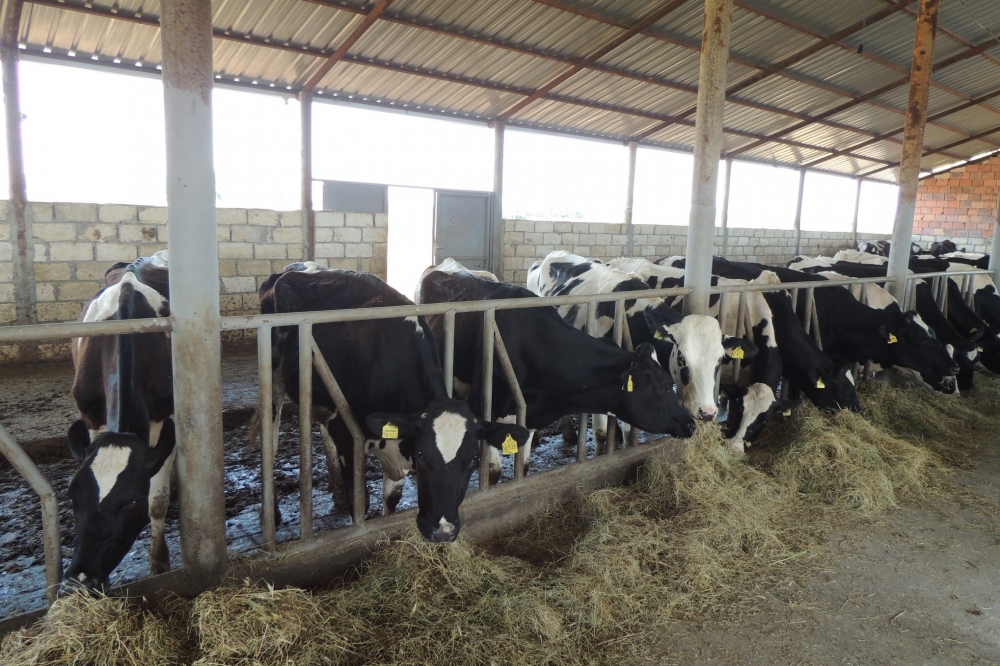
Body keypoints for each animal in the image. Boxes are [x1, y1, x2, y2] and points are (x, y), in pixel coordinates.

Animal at [63, 256, 175, 593]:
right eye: (71, 493)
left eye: (133, 501)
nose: (80, 580)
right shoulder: (92, 417)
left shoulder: (165, 417)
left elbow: (158, 500)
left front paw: (159, 562)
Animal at [261, 264, 530, 542]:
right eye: (422, 455)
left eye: (473, 459)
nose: (443, 531)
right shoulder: (347, 436)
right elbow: (359, 503)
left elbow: (392, 498)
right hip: (274, 377)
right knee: (270, 437)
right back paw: (273, 514)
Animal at [417, 259, 696, 475]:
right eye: (664, 387)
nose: (692, 423)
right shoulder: (486, 408)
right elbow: (493, 473)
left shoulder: (528, 416)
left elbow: (524, 466)